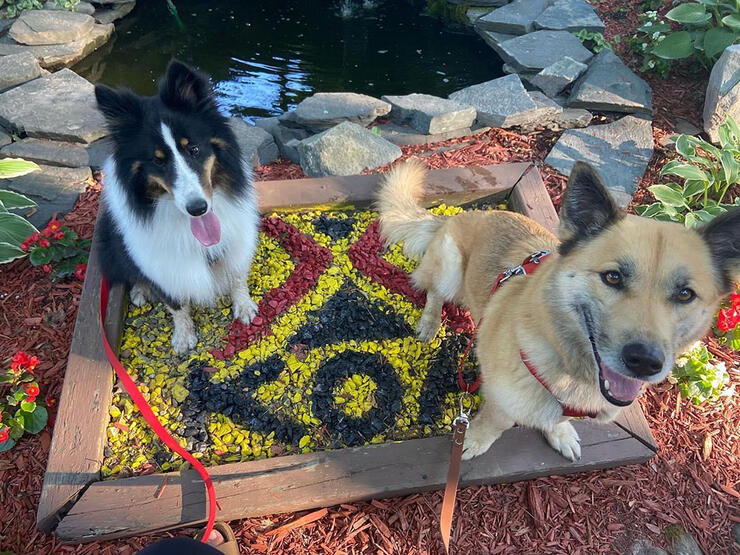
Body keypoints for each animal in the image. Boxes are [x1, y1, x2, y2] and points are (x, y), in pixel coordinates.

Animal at [95, 60, 258, 354]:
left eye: (194, 149)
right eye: (158, 161)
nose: (198, 208)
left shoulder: (236, 239)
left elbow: (237, 275)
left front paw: (245, 307)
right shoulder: (164, 265)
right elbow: (176, 302)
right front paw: (183, 337)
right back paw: (140, 290)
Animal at [378, 161, 736, 460]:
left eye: (685, 294)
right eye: (613, 277)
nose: (645, 362)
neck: (571, 370)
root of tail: (459, 216)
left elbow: (556, 419)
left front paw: (559, 433)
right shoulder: (501, 398)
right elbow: (495, 423)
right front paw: (473, 441)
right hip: (451, 269)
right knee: (435, 293)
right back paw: (430, 323)